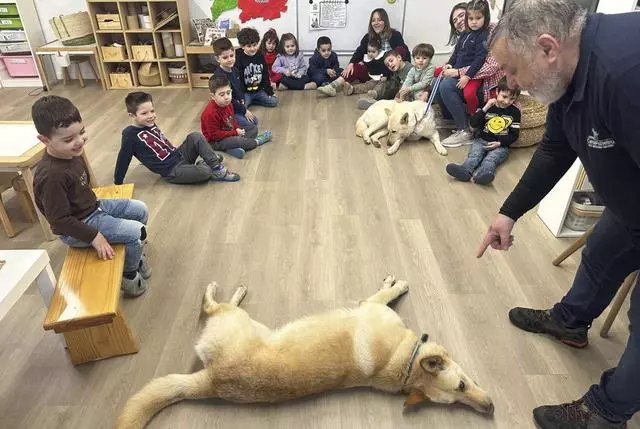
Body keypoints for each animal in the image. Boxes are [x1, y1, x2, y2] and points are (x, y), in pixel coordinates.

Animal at [115, 276, 494, 429]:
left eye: (456, 400)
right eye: (462, 387)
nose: (490, 408)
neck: (406, 362)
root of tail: (212, 381)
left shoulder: (372, 308)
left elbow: (385, 292)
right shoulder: (372, 305)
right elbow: (386, 292)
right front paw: (396, 284)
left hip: (235, 321)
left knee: (211, 306)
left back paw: (230, 291)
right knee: (211, 306)